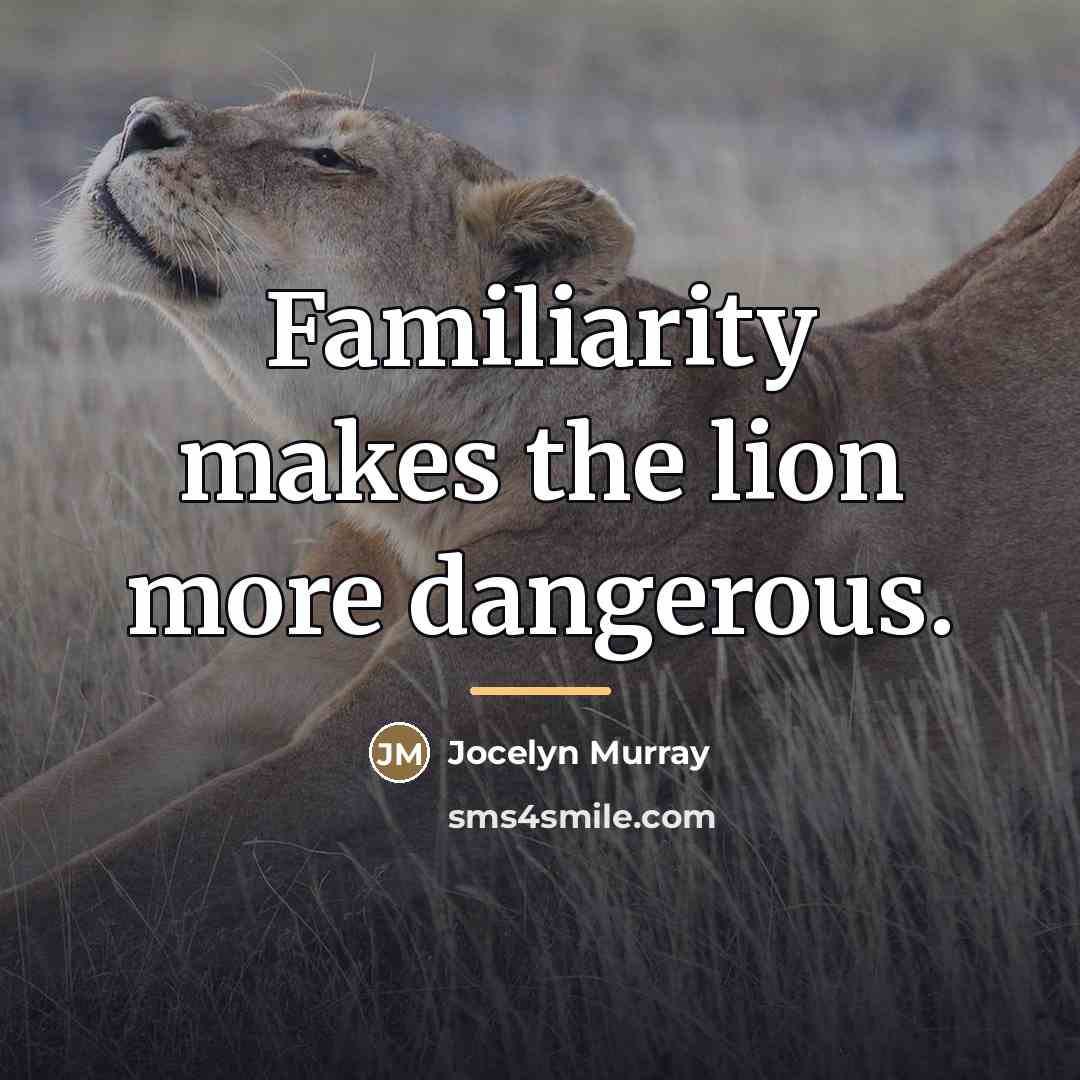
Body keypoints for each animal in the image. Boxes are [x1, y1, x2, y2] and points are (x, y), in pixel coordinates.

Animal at [3, 88, 1080, 982]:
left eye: (332, 159)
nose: (139, 121)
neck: (417, 489)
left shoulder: (381, 776)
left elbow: (104, 891)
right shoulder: (221, 709)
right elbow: (64, 804)